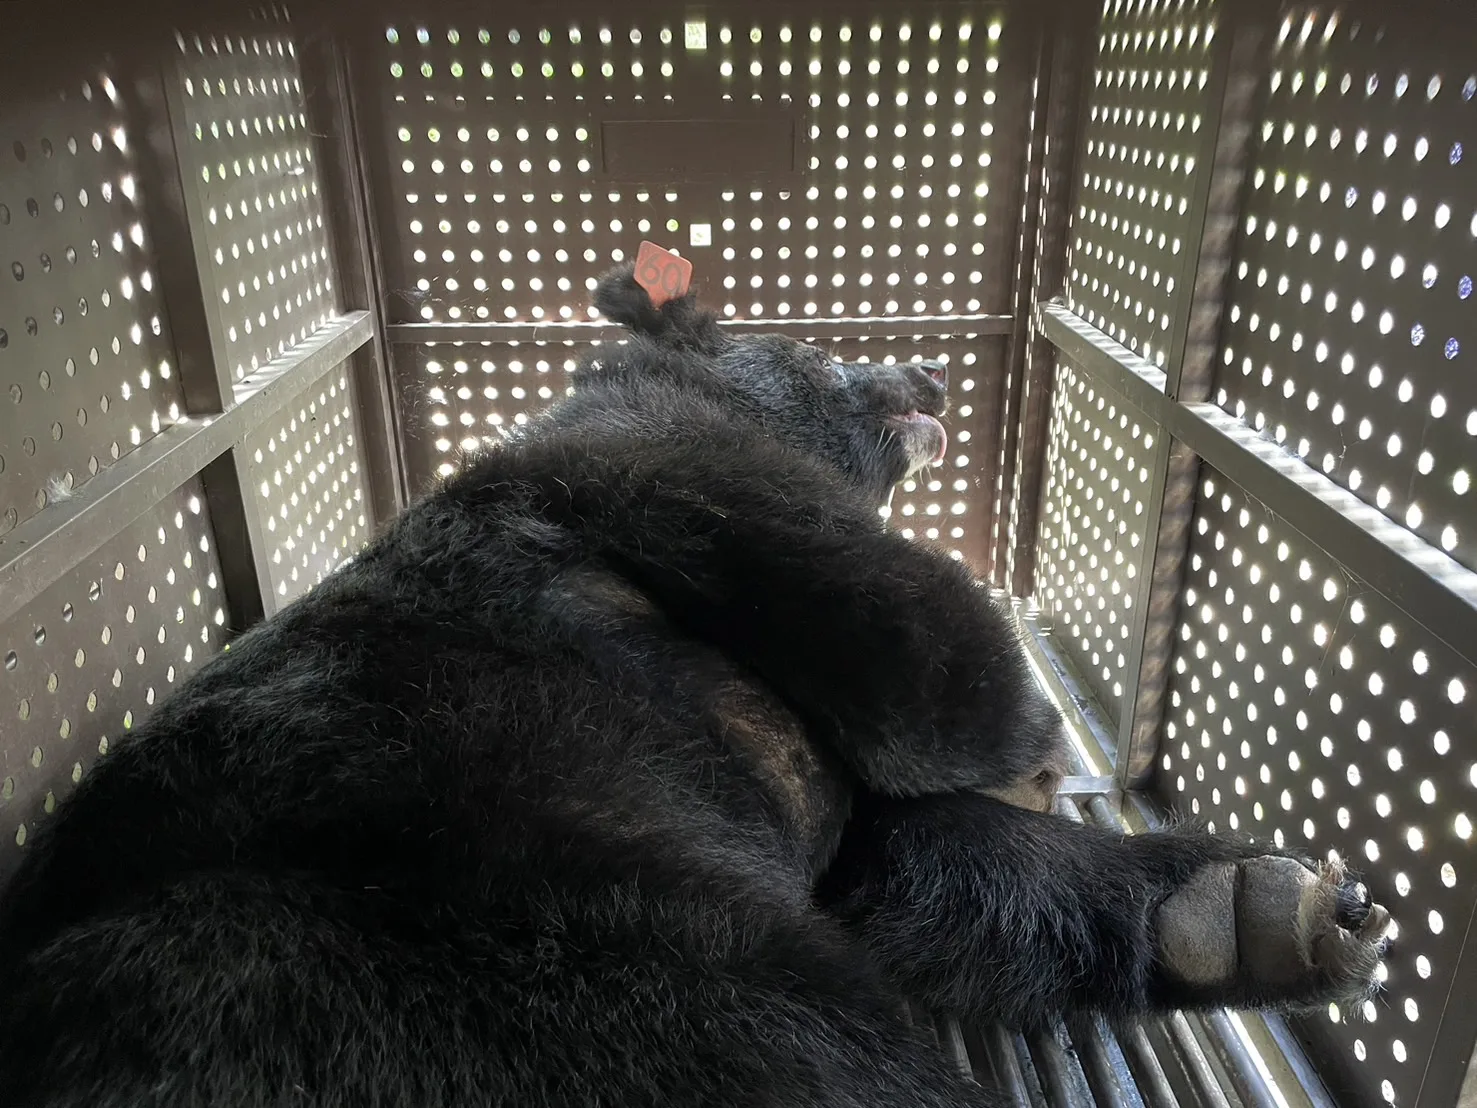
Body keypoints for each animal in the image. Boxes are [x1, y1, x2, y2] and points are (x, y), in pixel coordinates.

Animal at [0, 263, 1390, 1107]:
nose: (929, 373)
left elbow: (915, 867)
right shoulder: (665, 472)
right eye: (820, 349)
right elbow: (884, 611)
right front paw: (1027, 744)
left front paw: (1258, 903)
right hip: (506, 955)